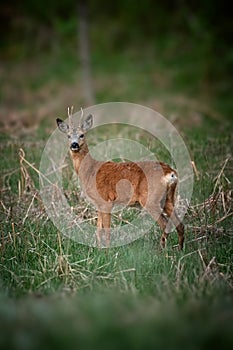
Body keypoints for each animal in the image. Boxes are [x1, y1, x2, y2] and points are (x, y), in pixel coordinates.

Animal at [56, 109, 184, 249]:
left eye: (82, 135)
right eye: (68, 136)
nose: (74, 145)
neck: (89, 171)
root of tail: (170, 173)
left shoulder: (106, 201)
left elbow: (106, 229)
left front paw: (107, 250)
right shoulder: (99, 203)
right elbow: (98, 229)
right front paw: (99, 248)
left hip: (150, 199)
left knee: (165, 224)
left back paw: (162, 251)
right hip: (168, 199)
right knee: (180, 225)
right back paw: (180, 250)